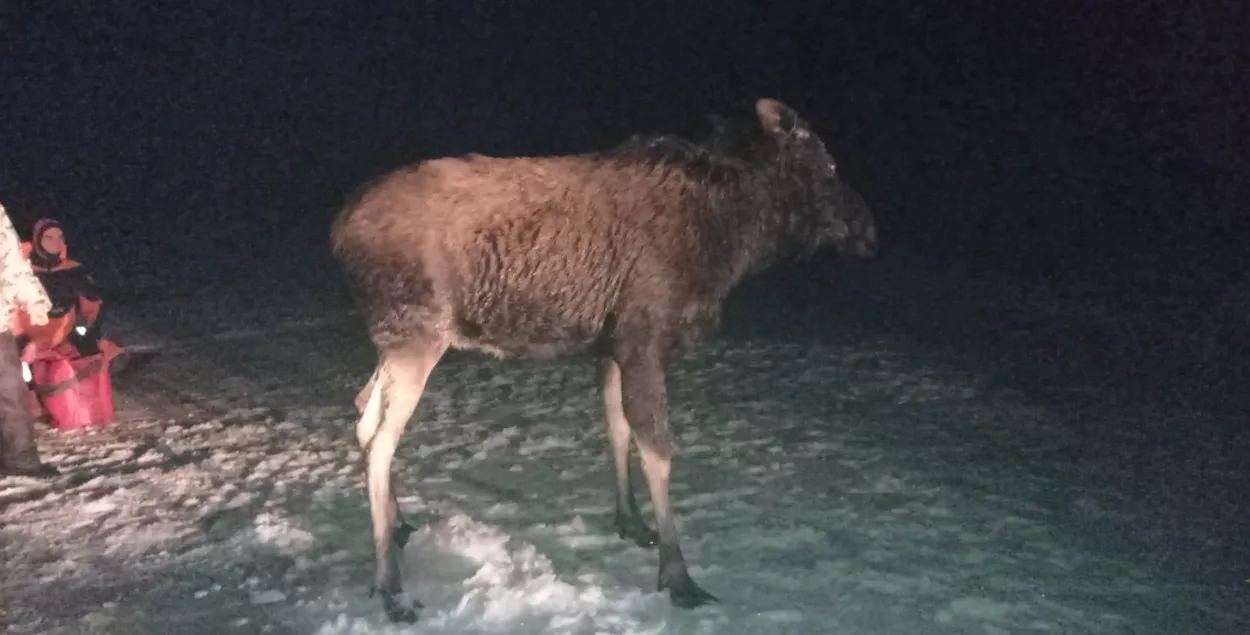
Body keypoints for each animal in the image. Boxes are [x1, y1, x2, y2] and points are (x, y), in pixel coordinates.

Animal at [332, 96, 880, 622]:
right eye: (828, 164)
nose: (867, 228)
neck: (732, 244)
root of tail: (338, 234)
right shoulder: (645, 341)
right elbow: (659, 452)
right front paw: (677, 575)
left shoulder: (613, 348)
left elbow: (617, 428)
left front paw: (631, 521)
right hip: (417, 335)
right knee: (380, 441)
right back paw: (391, 587)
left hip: (396, 342)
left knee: (363, 411)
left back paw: (397, 524)